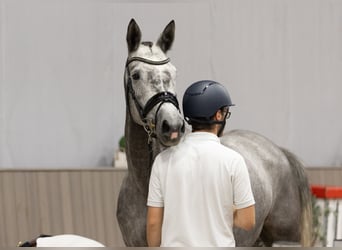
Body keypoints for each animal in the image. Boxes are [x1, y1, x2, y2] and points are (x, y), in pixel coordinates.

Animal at [117, 19, 312, 246]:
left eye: (174, 73)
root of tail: (278, 151)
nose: (172, 125)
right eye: (136, 75)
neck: (145, 186)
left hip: (285, 239)